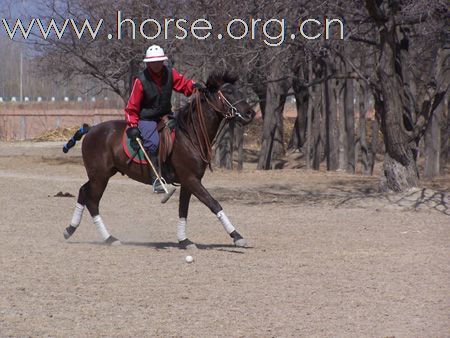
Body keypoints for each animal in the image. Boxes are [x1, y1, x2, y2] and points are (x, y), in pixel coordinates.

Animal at [61, 70, 255, 247]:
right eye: (228, 91)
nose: (250, 113)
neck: (190, 135)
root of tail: (90, 129)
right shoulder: (191, 179)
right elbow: (213, 204)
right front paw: (237, 236)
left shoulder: (189, 182)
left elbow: (183, 210)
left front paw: (184, 240)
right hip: (100, 176)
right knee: (92, 201)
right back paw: (109, 238)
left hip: (102, 174)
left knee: (83, 191)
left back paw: (70, 229)